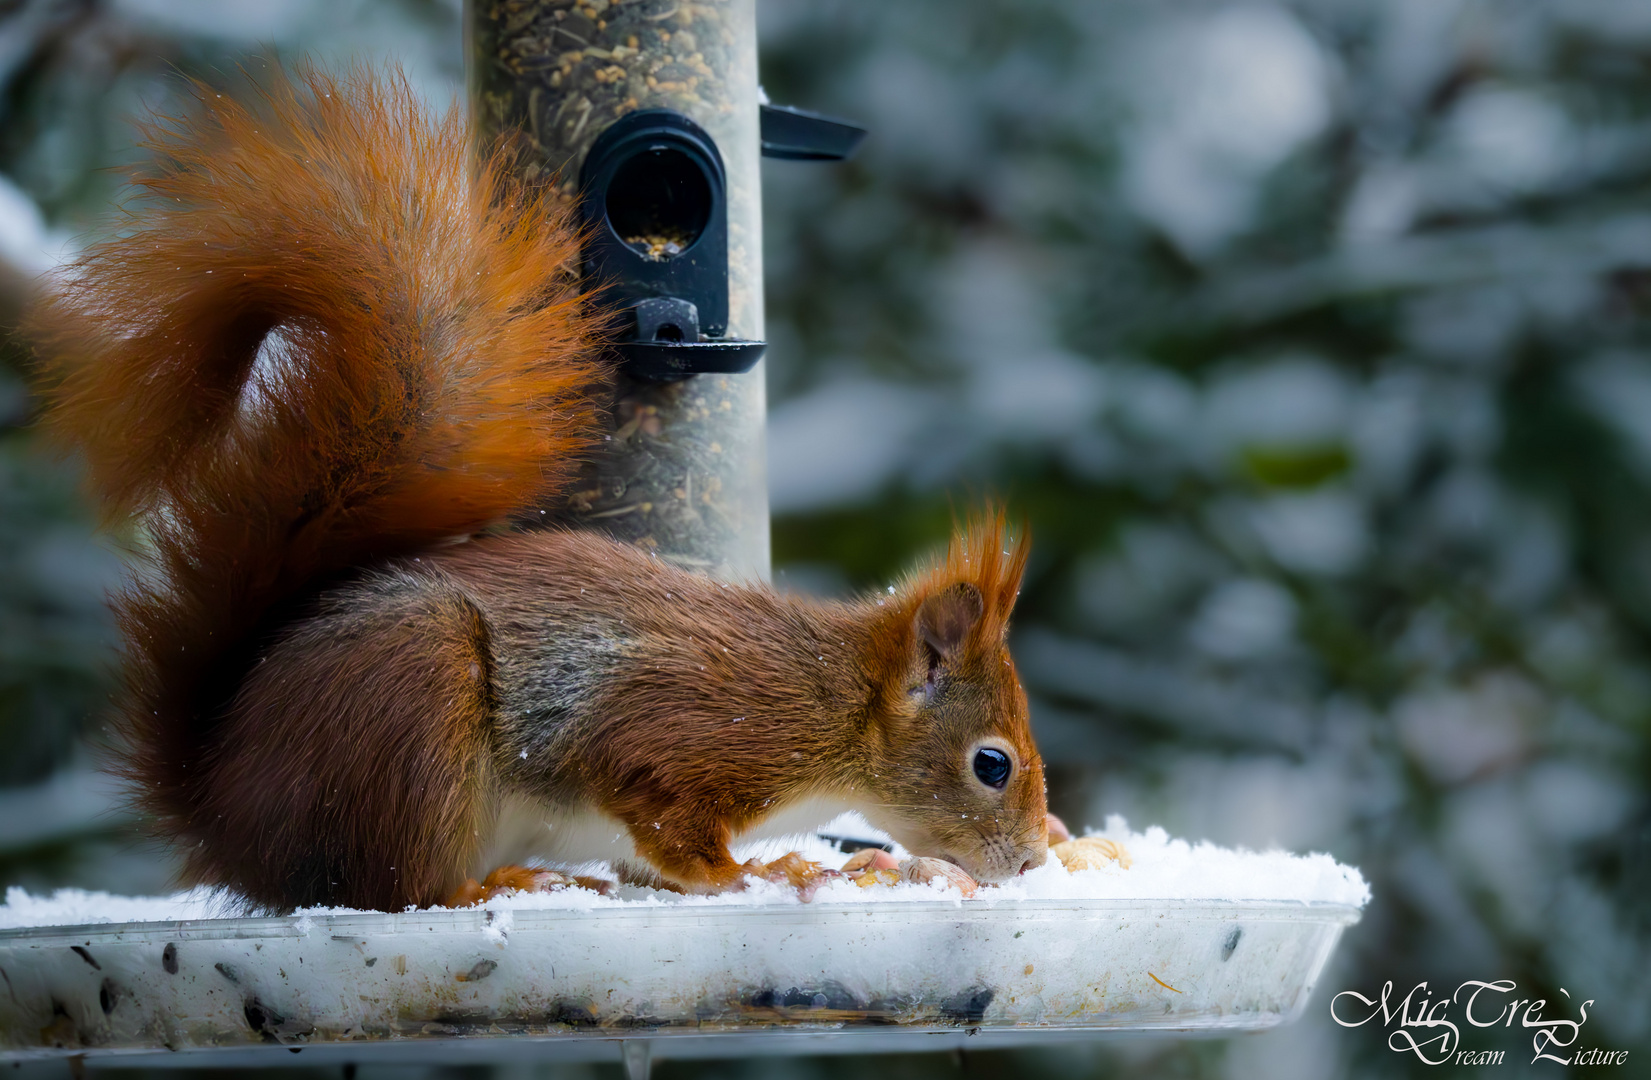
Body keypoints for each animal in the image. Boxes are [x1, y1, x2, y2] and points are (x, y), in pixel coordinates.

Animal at [32, 63, 1050, 911]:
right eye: (990, 765)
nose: (1035, 859)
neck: (834, 704)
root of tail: (224, 813)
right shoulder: (687, 733)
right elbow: (670, 826)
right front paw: (768, 873)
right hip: (411, 707)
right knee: (395, 888)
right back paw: (503, 886)